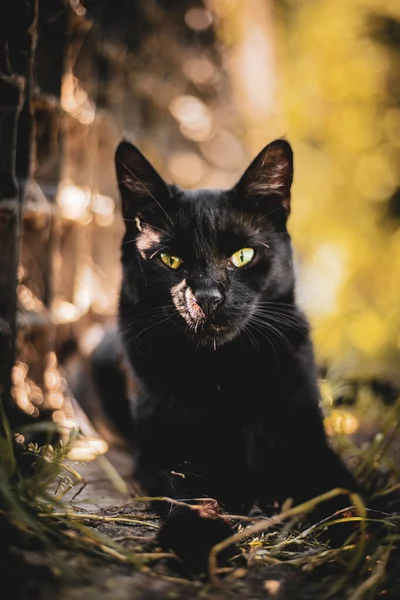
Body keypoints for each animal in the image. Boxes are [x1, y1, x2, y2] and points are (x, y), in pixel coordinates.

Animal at [112, 138, 360, 576]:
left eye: (243, 256)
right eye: (170, 259)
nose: (207, 297)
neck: (224, 374)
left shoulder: (309, 440)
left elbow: (340, 491)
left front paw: (355, 537)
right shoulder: (163, 452)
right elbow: (188, 494)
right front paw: (201, 539)